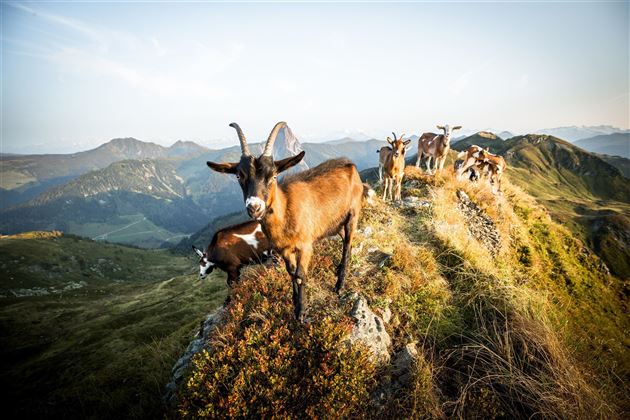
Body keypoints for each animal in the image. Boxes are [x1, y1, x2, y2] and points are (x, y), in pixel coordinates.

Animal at [207, 121, 366, 322]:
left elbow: (300, 275)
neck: (286, 212)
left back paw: (340, 284)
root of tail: (350, 165)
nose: (254, 207)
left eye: (274, 175)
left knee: (347, 243)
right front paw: (295, 303)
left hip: (353, 214)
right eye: (238, 175)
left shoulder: (305, 246)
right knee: (346, 241)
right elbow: (291, 273)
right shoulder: (283, 249)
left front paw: (301, 312)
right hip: (335, 224)